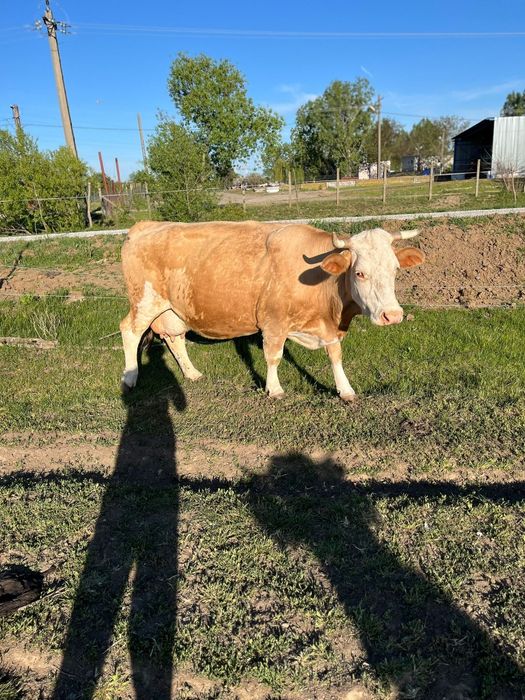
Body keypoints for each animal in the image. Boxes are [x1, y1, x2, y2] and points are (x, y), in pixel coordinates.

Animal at [120, 221, 425, 400]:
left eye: (395, 269)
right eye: (359, 273)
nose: (392, 315)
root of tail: (144, 226)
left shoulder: (328, 327)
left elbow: (335, 355)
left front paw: (345, 389)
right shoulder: (274, 322)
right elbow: (274, 356)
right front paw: (275, 389)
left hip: (172, 310)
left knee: (174, 338)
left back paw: (192, 373)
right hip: (144, 301)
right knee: (130, 331)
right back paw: (130, 377)